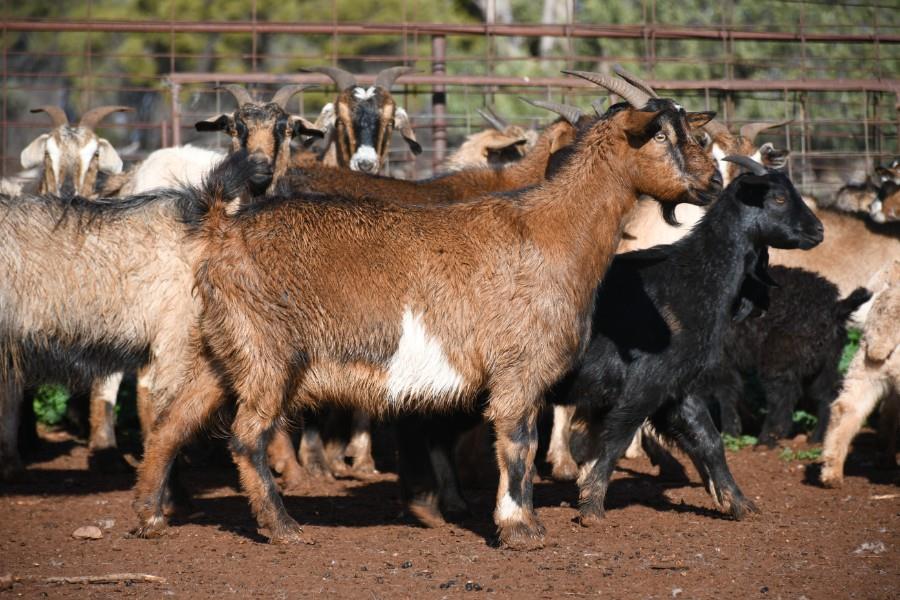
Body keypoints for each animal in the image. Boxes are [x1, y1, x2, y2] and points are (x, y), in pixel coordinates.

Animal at [130, 70, 722, 548]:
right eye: (662, 134)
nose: (714, 181)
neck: (551, 229)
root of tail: (220, 231)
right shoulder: (518, 368)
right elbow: (517, 442)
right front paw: (520, 528)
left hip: (219, 353)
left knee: (171, 423)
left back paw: (149, 516)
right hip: (266, 354)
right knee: (246, 434)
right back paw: (282, 527)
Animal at [566, 156, 822, 525]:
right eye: (778, 198)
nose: (818, 231)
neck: (694, 277)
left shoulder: (678, 386)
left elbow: (710, 440)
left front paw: (738, 503)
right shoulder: (647, 383)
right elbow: (616, 438)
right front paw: (591, 507)